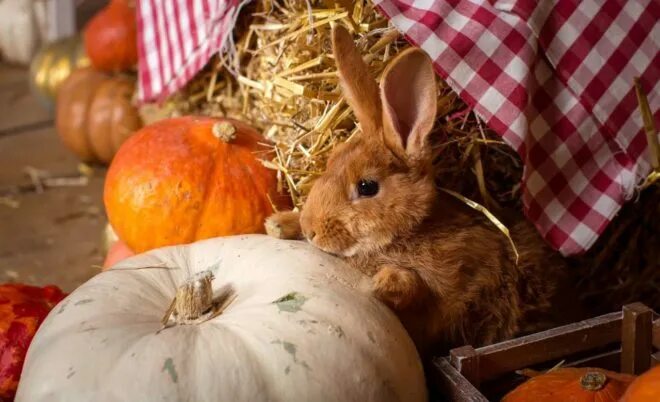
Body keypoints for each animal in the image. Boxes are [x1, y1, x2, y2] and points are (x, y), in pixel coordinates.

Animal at [266, 24, 576, 354]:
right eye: (332, 160)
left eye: (366, 186)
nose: (312, 229)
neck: (406, 232)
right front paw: (278, 224)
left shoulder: (448, 292)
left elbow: (418, 294)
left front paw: (383, 282)